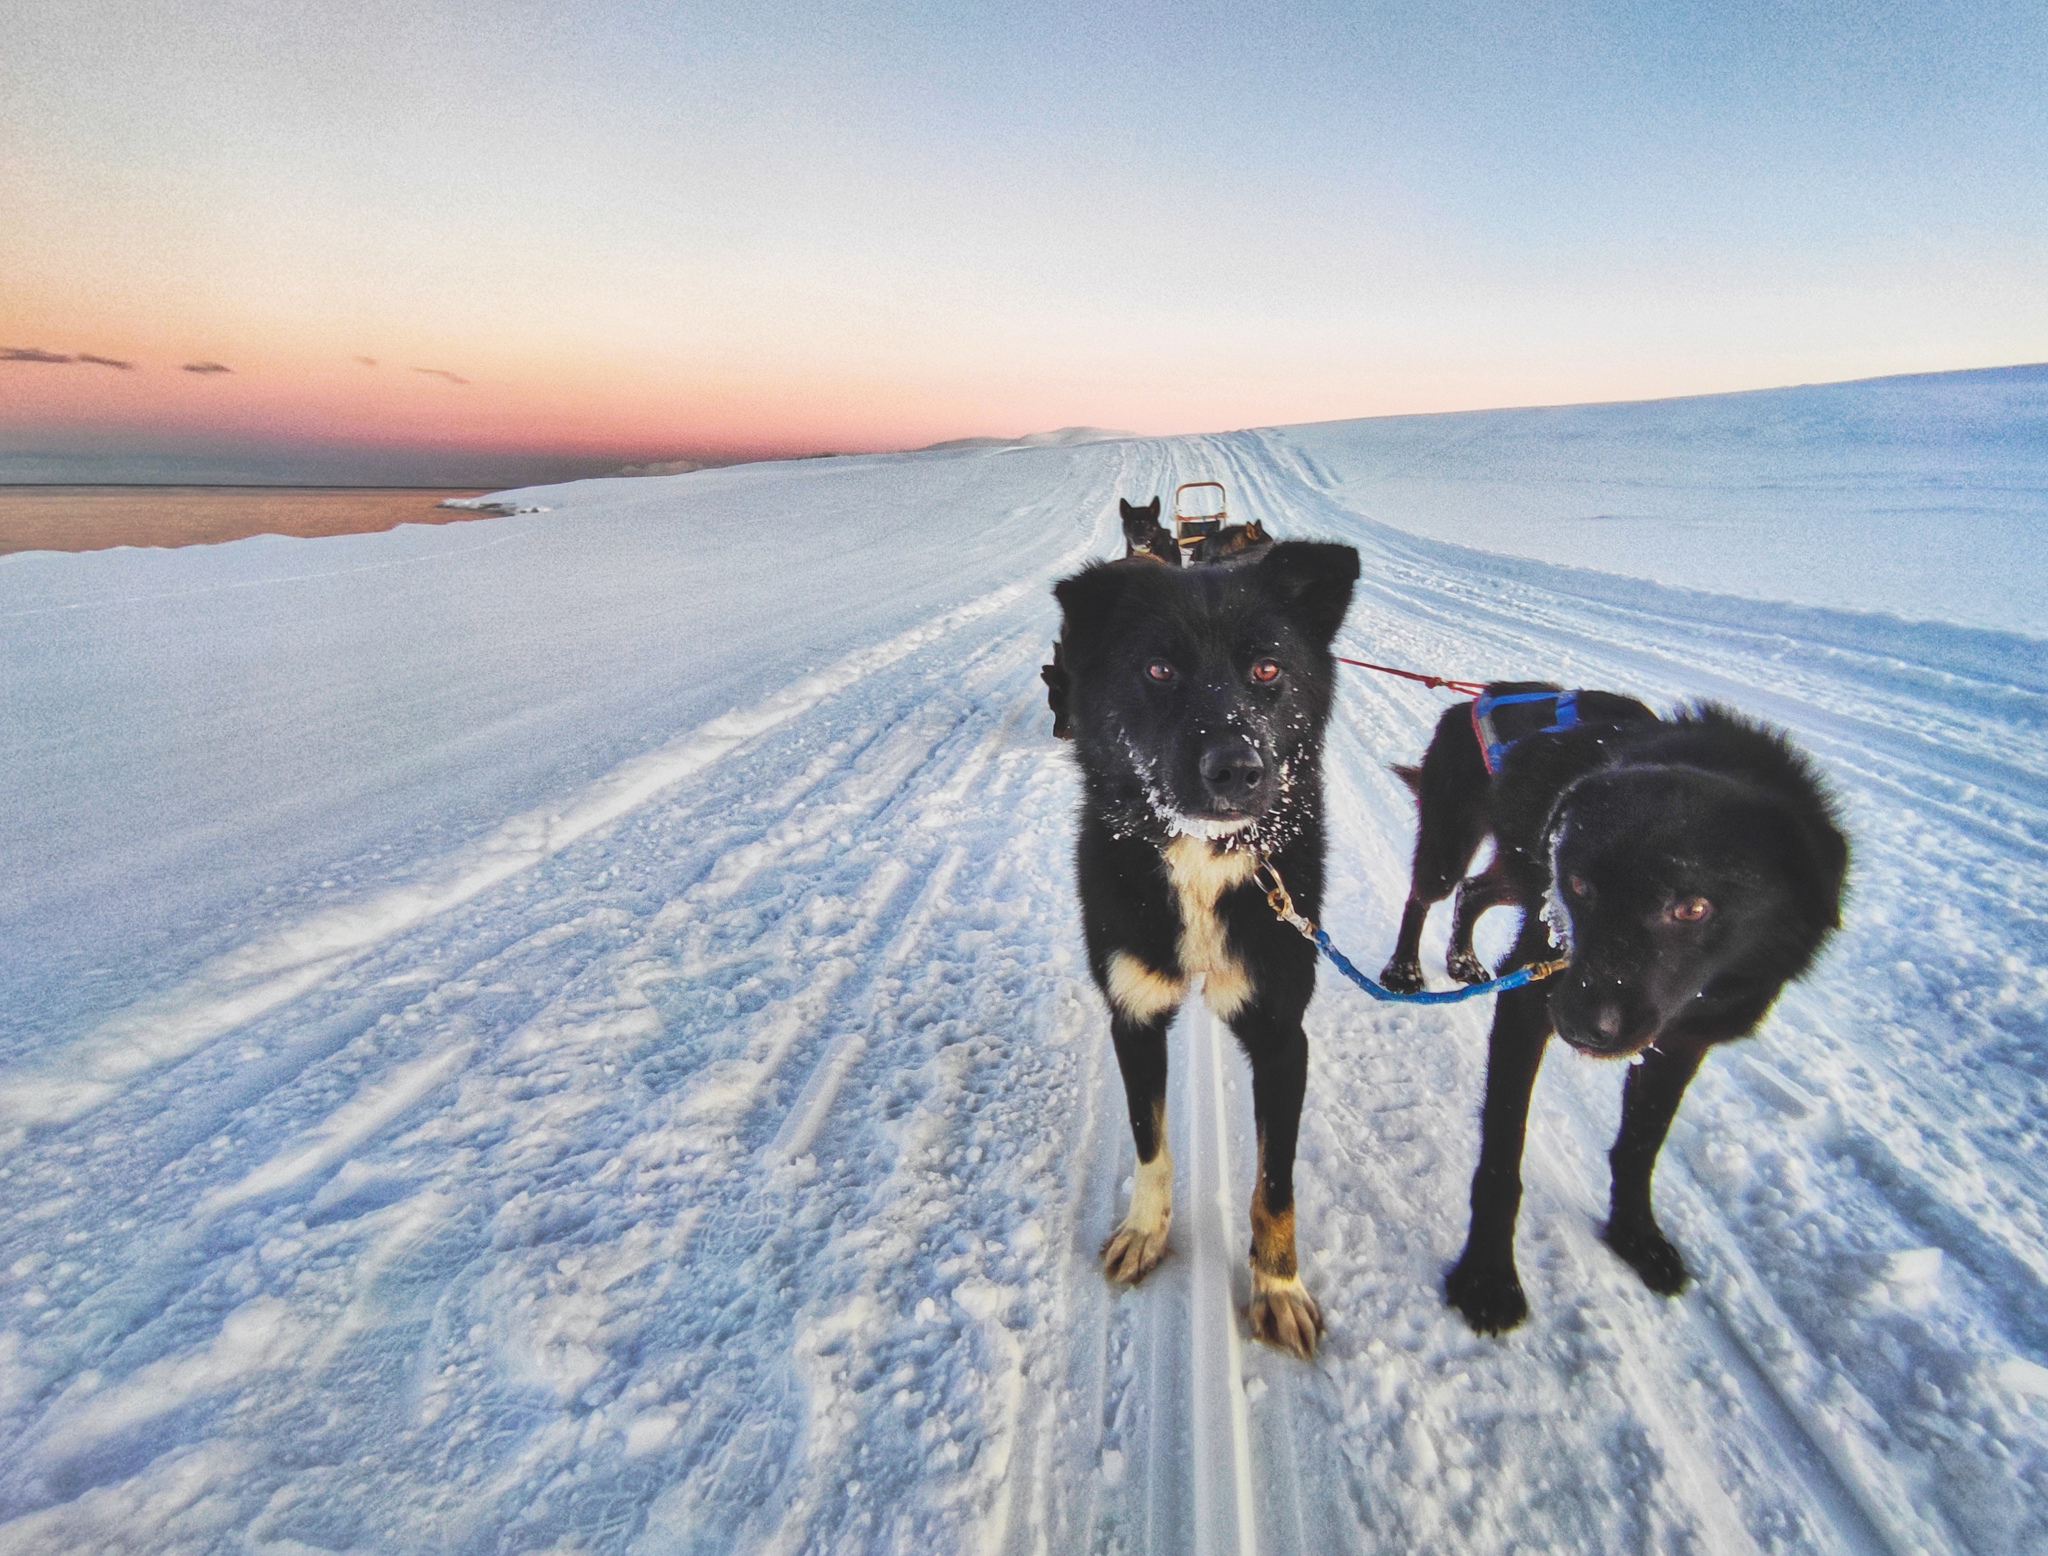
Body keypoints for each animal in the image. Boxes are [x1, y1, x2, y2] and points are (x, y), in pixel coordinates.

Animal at [1056, 536, 1359, 1359]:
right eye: (1159, 669)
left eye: (1268, 669)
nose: (1237, 769)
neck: (1200, 860)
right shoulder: (1132, 1015)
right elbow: (1150, 1142)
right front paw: (1146, 1231)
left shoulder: (1283, 1036)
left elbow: (1275, 1185)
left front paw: (1278, 1285)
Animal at [1384, 687, 1851, 1334]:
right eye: (1580, 887)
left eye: (1693, 907)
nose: (1581, 1024)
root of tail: (1478, 695)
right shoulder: (1531, 996)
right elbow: (1503, 1152)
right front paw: (1488, 1276)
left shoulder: (1681, 1043)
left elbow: (1639, 1146)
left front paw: (1635, 1235)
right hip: (1452, 843)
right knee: (1426, 893)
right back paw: (1405, 969)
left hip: (1519, 872)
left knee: (1475, 892)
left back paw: (1463, 959)